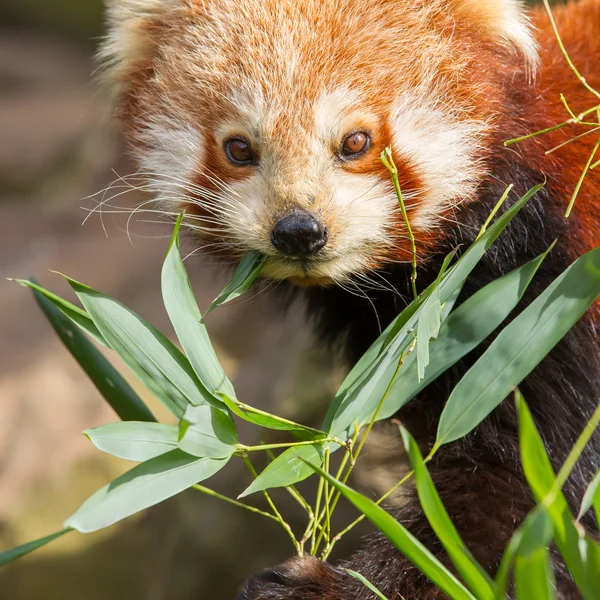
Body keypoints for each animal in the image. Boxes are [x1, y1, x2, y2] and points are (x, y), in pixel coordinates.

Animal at [101, 0, 596, 596]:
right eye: (238, 148)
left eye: (355, 142)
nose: (298, 230)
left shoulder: (547, 302)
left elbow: (522, 497)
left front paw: (332, 586)